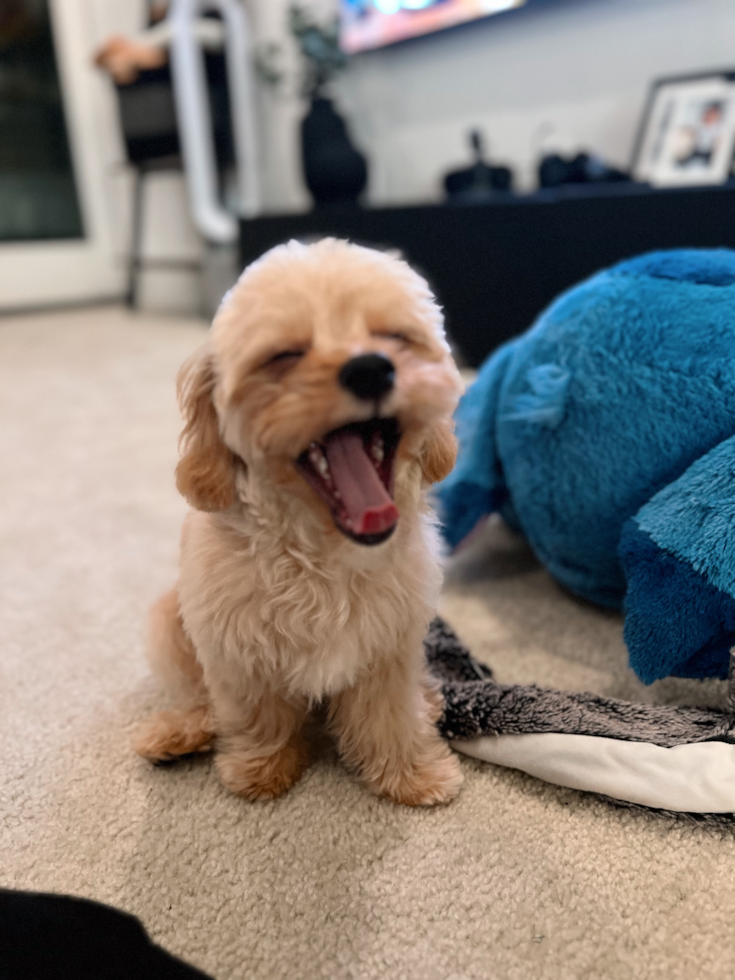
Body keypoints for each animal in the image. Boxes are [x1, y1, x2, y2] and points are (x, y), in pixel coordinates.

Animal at [134, 237, 466, 804]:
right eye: (285, 355)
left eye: (393, 337)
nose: (370, 368)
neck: (322, 554)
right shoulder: (234, 650)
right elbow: (257, 715)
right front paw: (262, 769)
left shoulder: (391, 647)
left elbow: (390, 716)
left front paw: (411, 772)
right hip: (166, 622)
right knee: (198, 695)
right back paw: (182, 729)